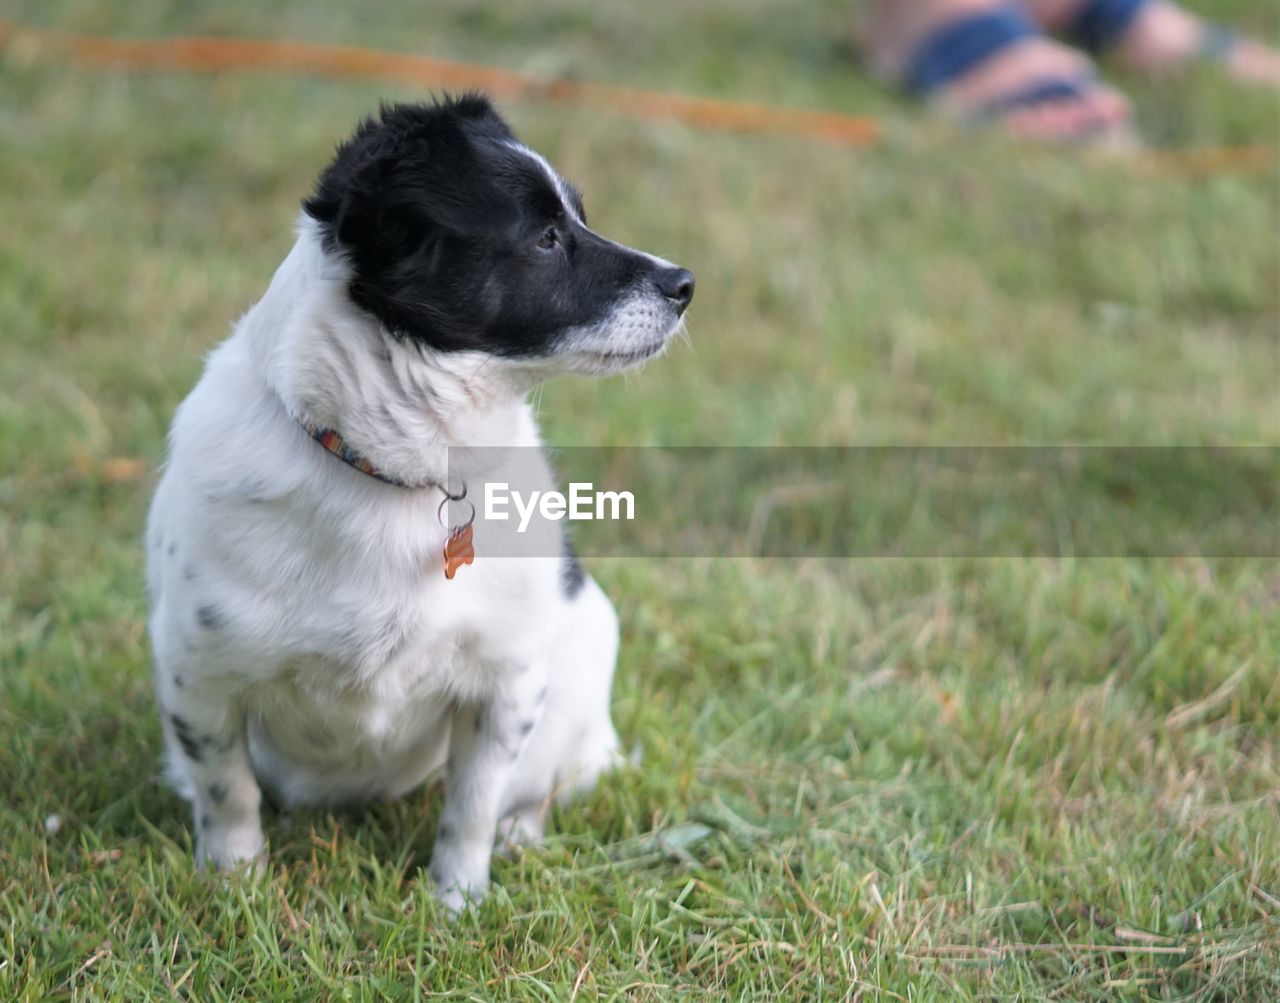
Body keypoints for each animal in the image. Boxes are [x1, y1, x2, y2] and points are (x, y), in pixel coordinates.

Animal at [145, 95, 696, 910]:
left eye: (578, 216)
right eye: (546, 237)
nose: (685, 283)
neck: (399, 472)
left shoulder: (506, 683)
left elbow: (472, 802)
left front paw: (457, 901)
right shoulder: (200, 674)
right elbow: (228, 793)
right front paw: (235, 886)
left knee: (534, 786)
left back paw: (522, 834)